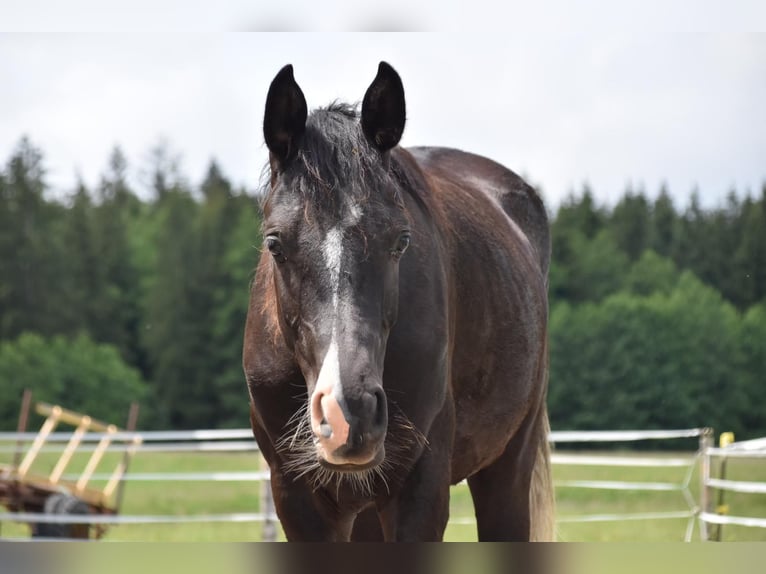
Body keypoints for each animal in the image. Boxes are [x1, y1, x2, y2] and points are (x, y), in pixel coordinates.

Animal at [243, 63, 556, 544]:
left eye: (401, 241)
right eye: (274, 243)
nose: (349, 411)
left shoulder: (419, 490)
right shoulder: (297, 497)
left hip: (507, 467)